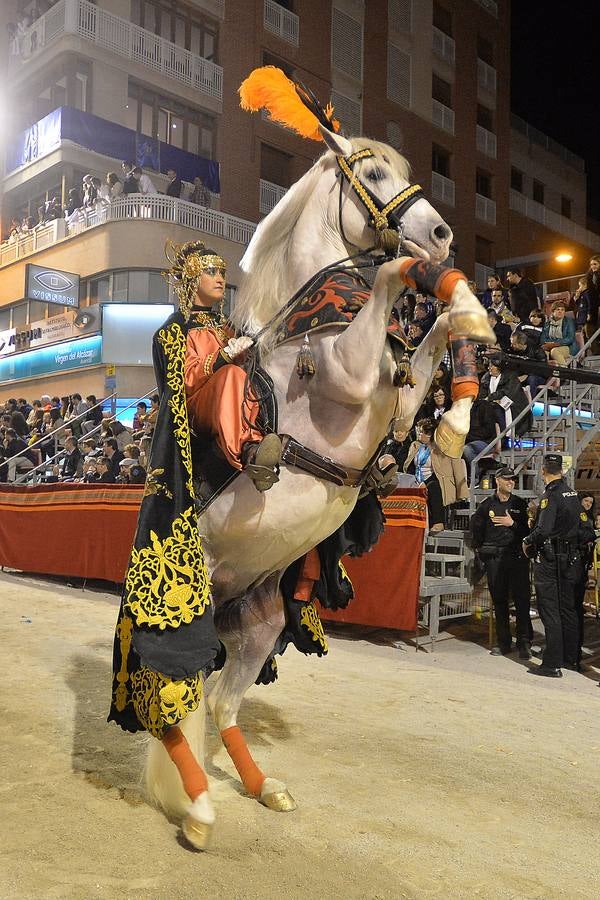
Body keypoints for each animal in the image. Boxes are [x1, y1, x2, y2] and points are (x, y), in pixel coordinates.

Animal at [145, 123, 492, 848]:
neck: (317, 324)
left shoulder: (397, 398)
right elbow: (390, 282)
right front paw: (437, 286)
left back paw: (261, 787)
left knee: (219, 701)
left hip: (258, 621)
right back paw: (198, 810)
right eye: (374, 174)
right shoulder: (349, 376)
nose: (441, 234)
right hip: (185, 616)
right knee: (171, 703)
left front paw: (460, 383)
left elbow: (429, 348)